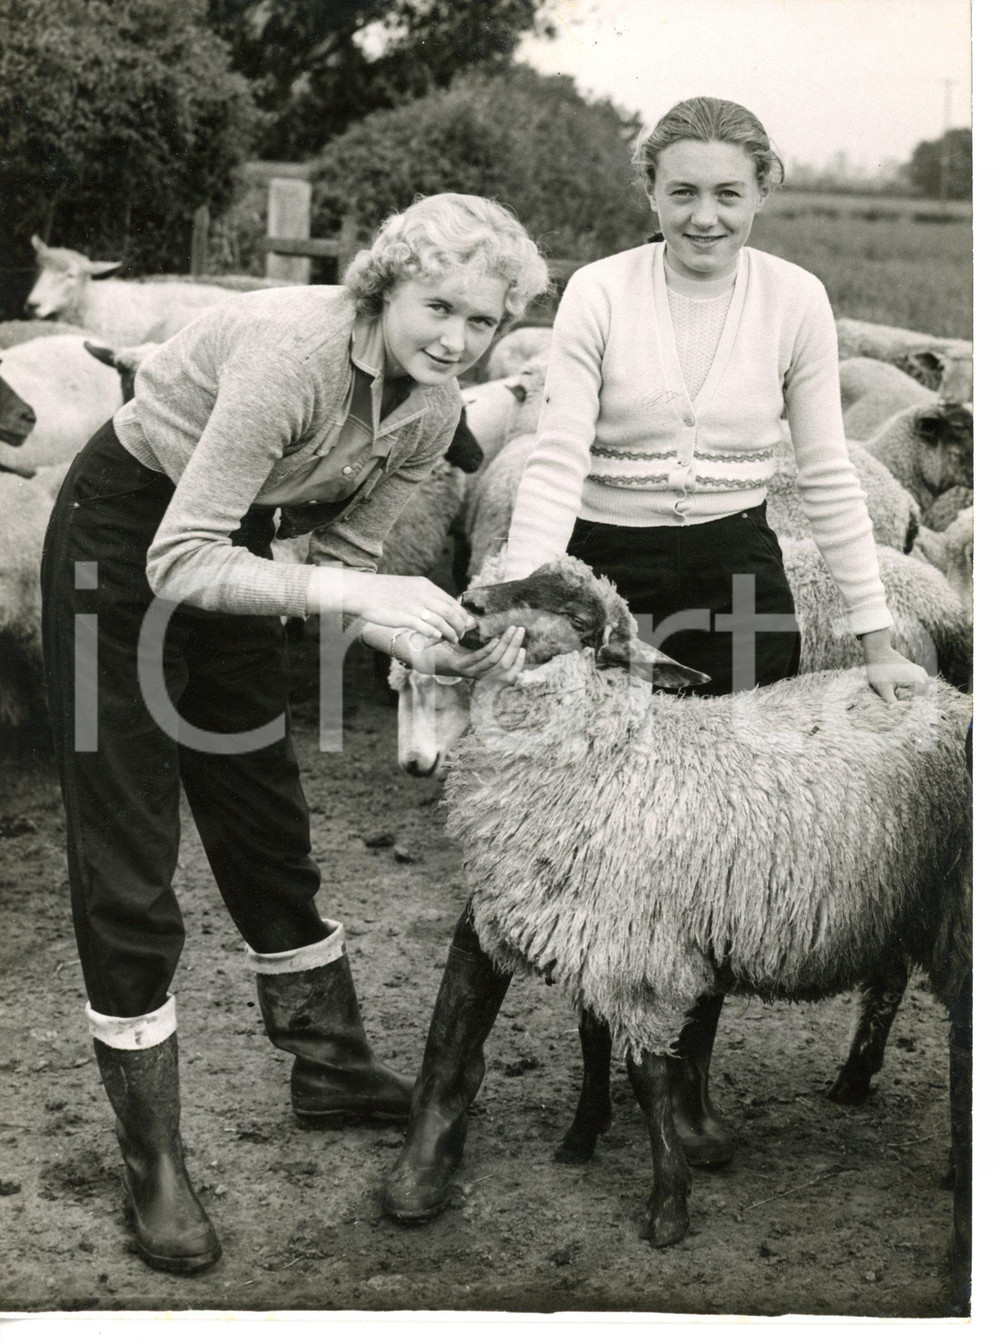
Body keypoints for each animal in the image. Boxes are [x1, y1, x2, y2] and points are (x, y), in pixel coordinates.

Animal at [444, 555, 971, 1250]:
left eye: (580, 619)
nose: (470, 604)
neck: (615, 759)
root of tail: (947, 694)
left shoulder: (633, 947)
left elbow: (647, 1074)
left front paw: (668, 1202)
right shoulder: (595, 931)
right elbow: (592, 1041)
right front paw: (581, 1137)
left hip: (942, 898)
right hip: (890, 893)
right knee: (889, 975)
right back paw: (855, 1080)